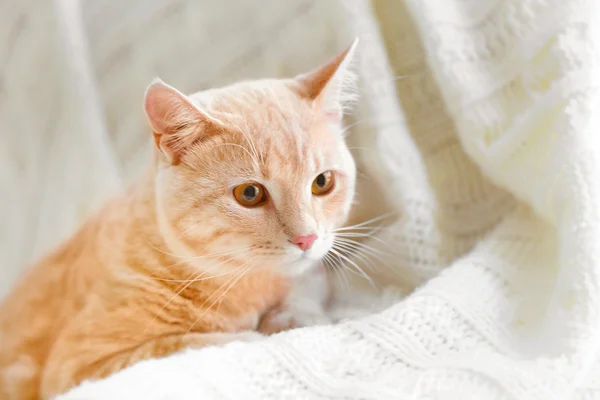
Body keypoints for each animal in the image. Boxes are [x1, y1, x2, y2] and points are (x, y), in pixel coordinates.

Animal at [0, 39, 358, 398]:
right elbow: (199, 342)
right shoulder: (81, 366)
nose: (307, 238)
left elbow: (307, 289)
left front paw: (295, 314)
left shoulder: (312, 274)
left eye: (322, 182)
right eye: (250, 194)